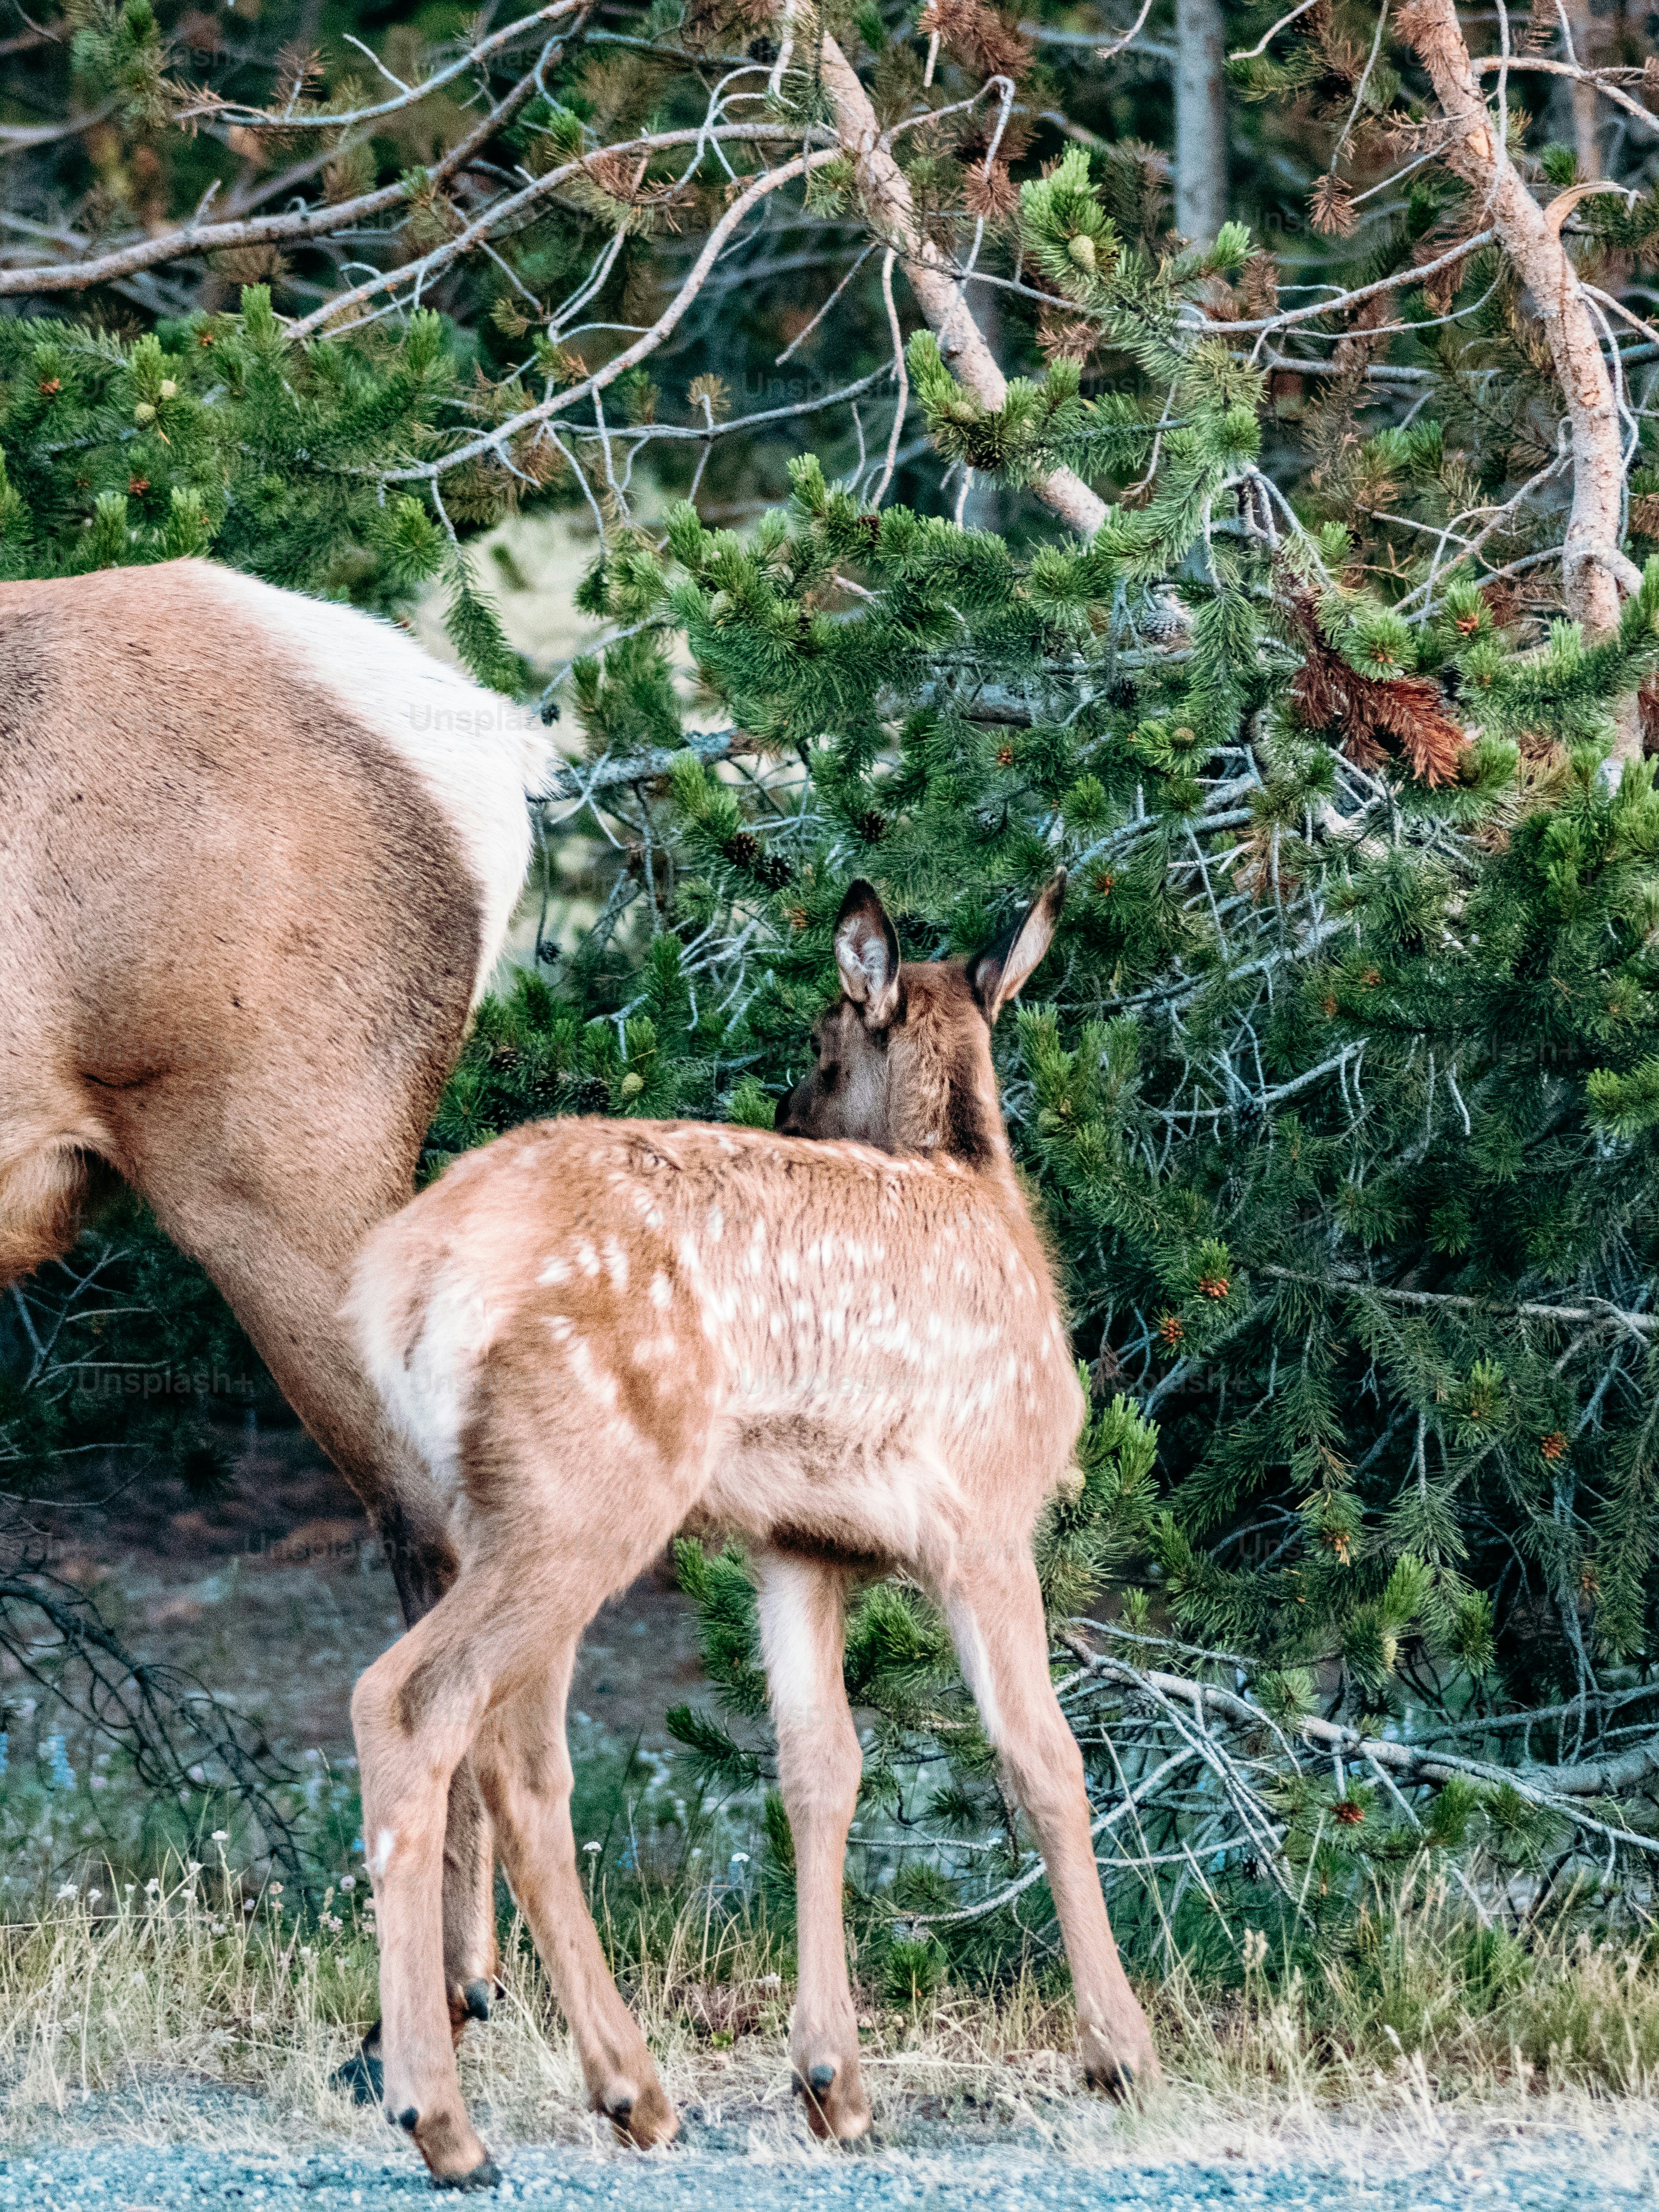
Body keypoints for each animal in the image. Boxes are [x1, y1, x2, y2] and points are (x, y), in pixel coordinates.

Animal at [344, 872, 1162, 2189]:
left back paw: (631, 2094)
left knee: (520, 1756)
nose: (785, 1105)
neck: (982, 1192)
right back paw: (447, 2121)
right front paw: (1120, 2054)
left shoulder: (800, 1542)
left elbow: (819, 1767)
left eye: (818, 1051)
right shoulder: (984, 1515)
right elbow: (1044, 1759)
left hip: (511, 1503)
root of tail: (398, 1285)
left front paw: (833, 2083)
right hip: (585, 1487)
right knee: (414, 1701)